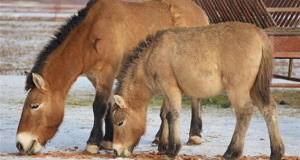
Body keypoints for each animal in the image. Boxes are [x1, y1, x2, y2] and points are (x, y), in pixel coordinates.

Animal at [15, 0, 209, 156]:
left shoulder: (106, 73)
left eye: (34, 105)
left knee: (194, 98)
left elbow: (99, 106)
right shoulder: (95, 78)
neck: (93, 31)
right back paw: (160, 138)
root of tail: (200, 11)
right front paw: (107, 140)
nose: (20, 144)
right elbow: (108, 106)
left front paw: (92, 144)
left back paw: (193, 136)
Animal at [112, 21, 284, 159]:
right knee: (269, 109)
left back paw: (232, 152)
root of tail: (260, 36)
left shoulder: (170, 87)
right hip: (256, 88)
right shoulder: (168, 91)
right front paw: (164, 146)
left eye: (120, 122)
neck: (151, 54)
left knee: (244, 112)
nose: (116, 151)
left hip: (238, 89)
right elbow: (165, 114)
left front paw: (172, 150)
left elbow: (172, 115)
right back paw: (277, 152)